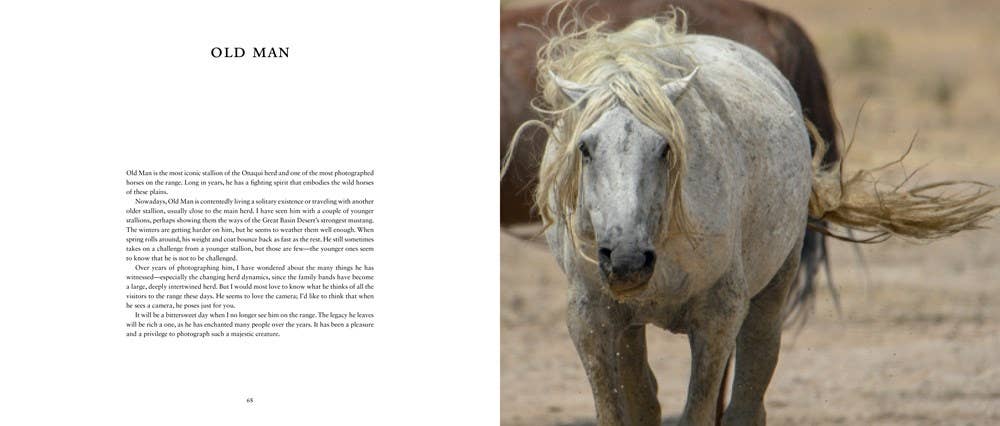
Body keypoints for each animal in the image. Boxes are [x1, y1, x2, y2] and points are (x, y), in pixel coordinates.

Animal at [530, 14, 997, 426]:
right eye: (585, 148)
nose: (626, 259)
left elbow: (701, 414)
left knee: (747, 404)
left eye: (665, 148)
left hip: (770, 297)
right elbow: (621, 411)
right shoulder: (592, 320)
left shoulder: (718, 318)